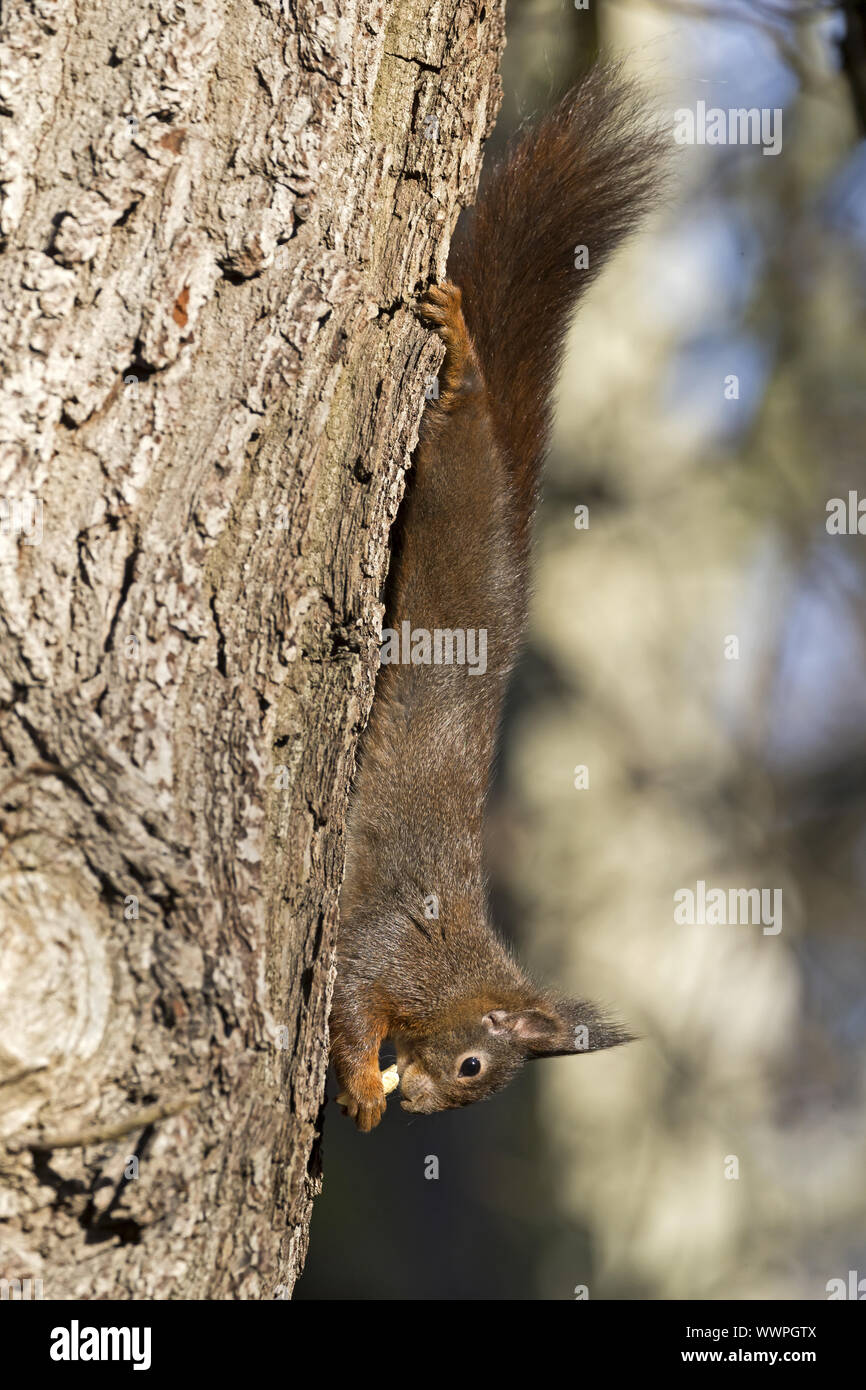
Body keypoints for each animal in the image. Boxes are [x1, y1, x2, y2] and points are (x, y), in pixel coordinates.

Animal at [328, 62, 661, 1128]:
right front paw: (363, 1086)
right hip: (454, 484)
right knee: (465, 417)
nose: (428, 1112)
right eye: (476, 1066)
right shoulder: (384, 945)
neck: (460, 968)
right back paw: (464, 350)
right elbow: (350, 1003)